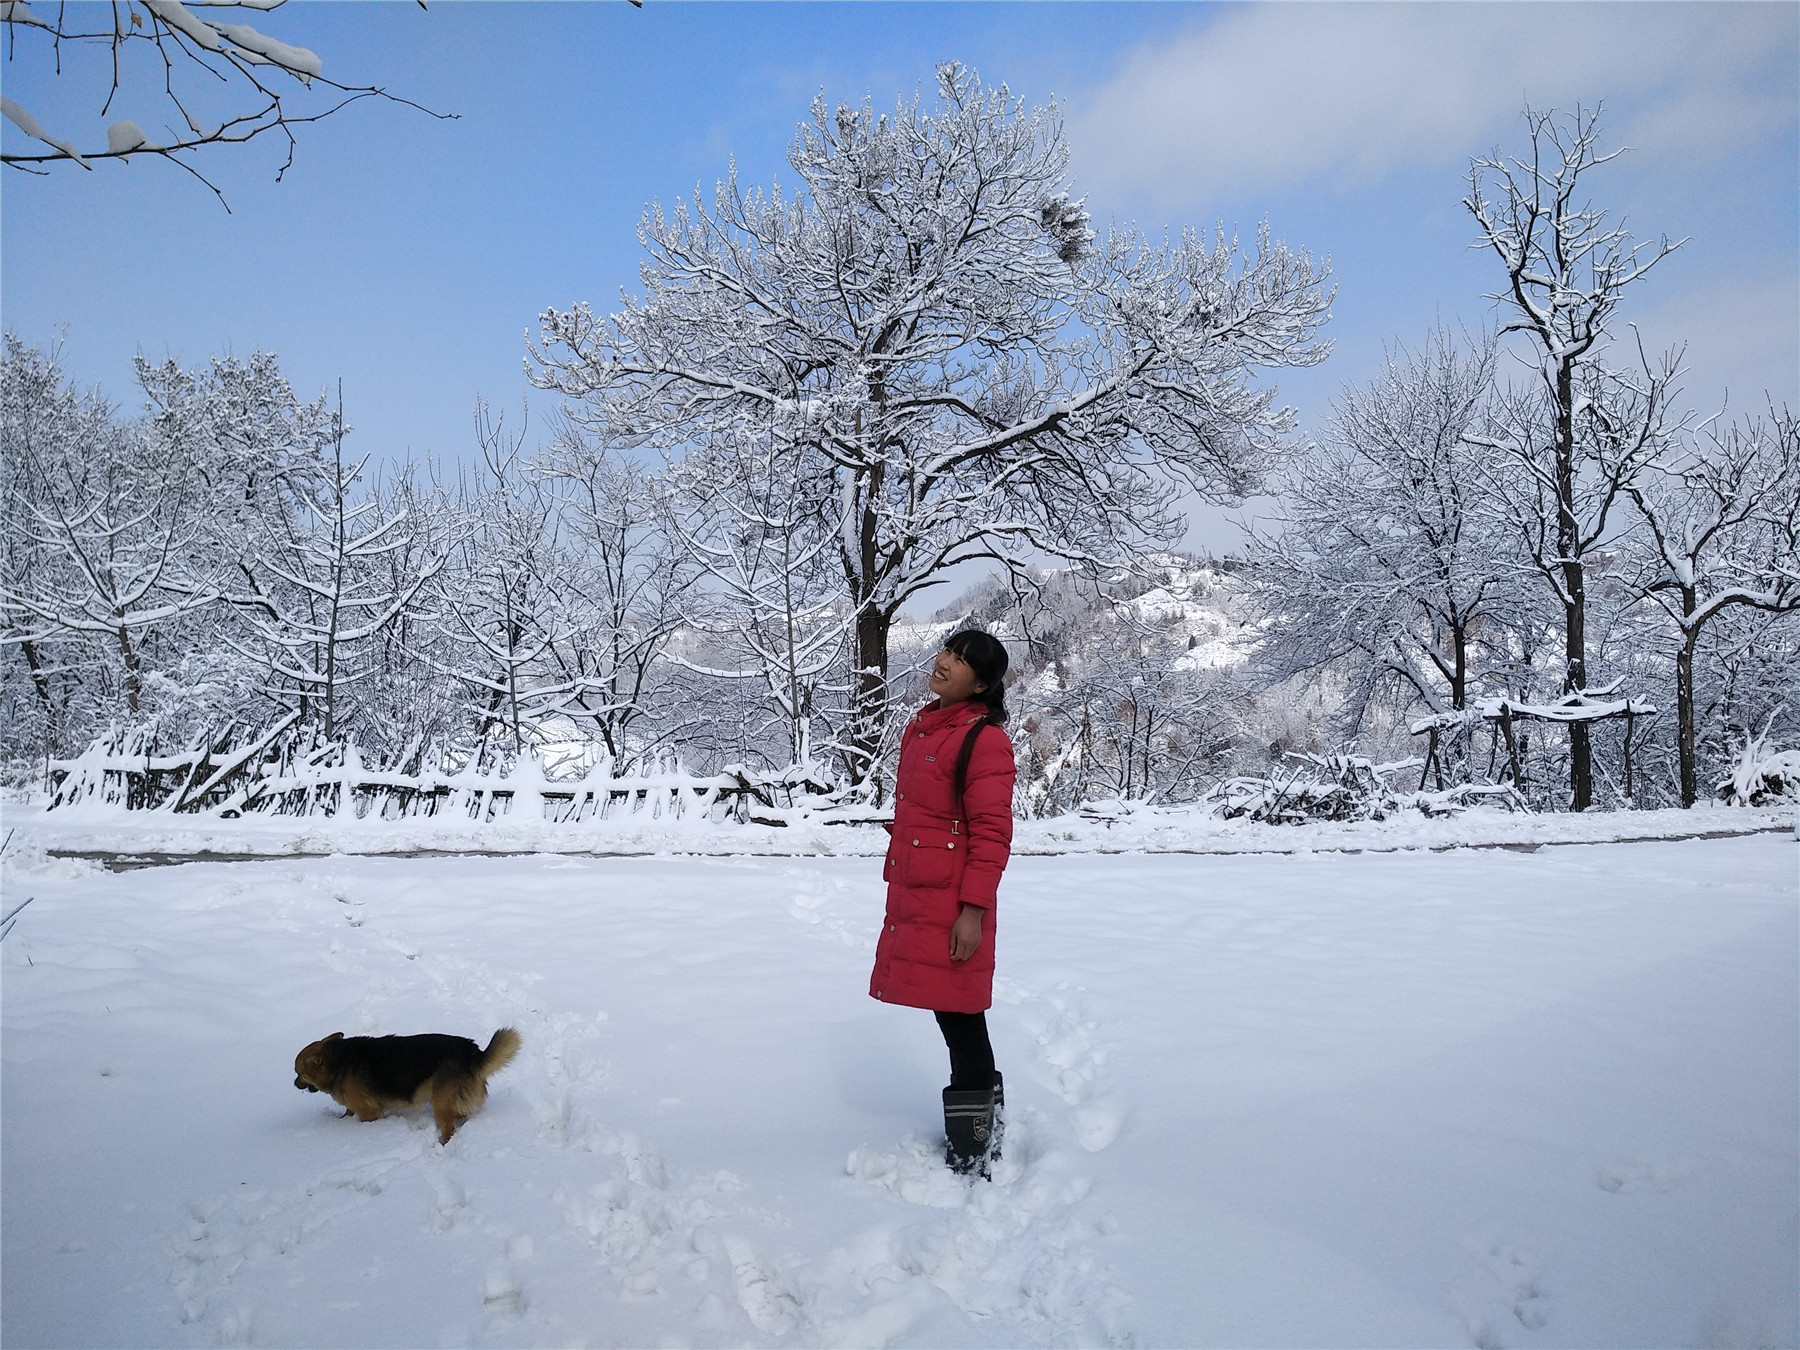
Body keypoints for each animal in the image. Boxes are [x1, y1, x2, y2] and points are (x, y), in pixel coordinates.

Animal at [293, 1029, 522, 1144]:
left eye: (299, 1073)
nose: (294, 1084)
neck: (338, 1060)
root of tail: (473, 1053)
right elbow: (348, 1112)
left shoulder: (369, 1112)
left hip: (440, 1104)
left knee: (449, 1129)